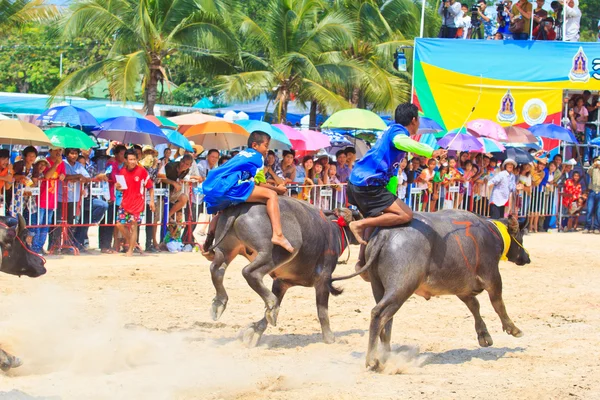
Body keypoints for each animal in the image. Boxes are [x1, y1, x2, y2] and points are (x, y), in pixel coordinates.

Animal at [206, 197, 356, 346]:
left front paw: (255, 331)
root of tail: (239, 207)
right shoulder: (323, 279)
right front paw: (330, 339)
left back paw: (219, 303)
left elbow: (271, 308)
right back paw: (271, 304)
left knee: (216, 269)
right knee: (249, 272)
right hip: (277, 252)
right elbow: (322, 311)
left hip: (226, 248)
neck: (334, 230)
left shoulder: (281, 282)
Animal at [330, 211, 532, 370]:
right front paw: (513, 329)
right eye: (521, 236)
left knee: (386, 319)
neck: (490, 233)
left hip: (379, 287)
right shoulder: (492, 276)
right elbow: (498, 303)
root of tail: (384, 235)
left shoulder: (462, 288)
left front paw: (484, 336)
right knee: (378, 314)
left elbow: (474, 306)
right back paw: (373, 361)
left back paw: (386, 354)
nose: (527, 258)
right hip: (401, 287)